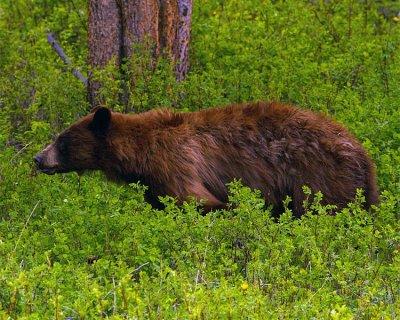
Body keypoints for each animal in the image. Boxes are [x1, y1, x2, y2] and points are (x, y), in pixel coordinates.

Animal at [34, 101, 378, 216]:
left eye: (61, 140)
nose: (38, 158)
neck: (141, 154)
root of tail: (363, 154)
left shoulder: (176, 165)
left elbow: (198, 201)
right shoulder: (154, 183)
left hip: (319, 178)